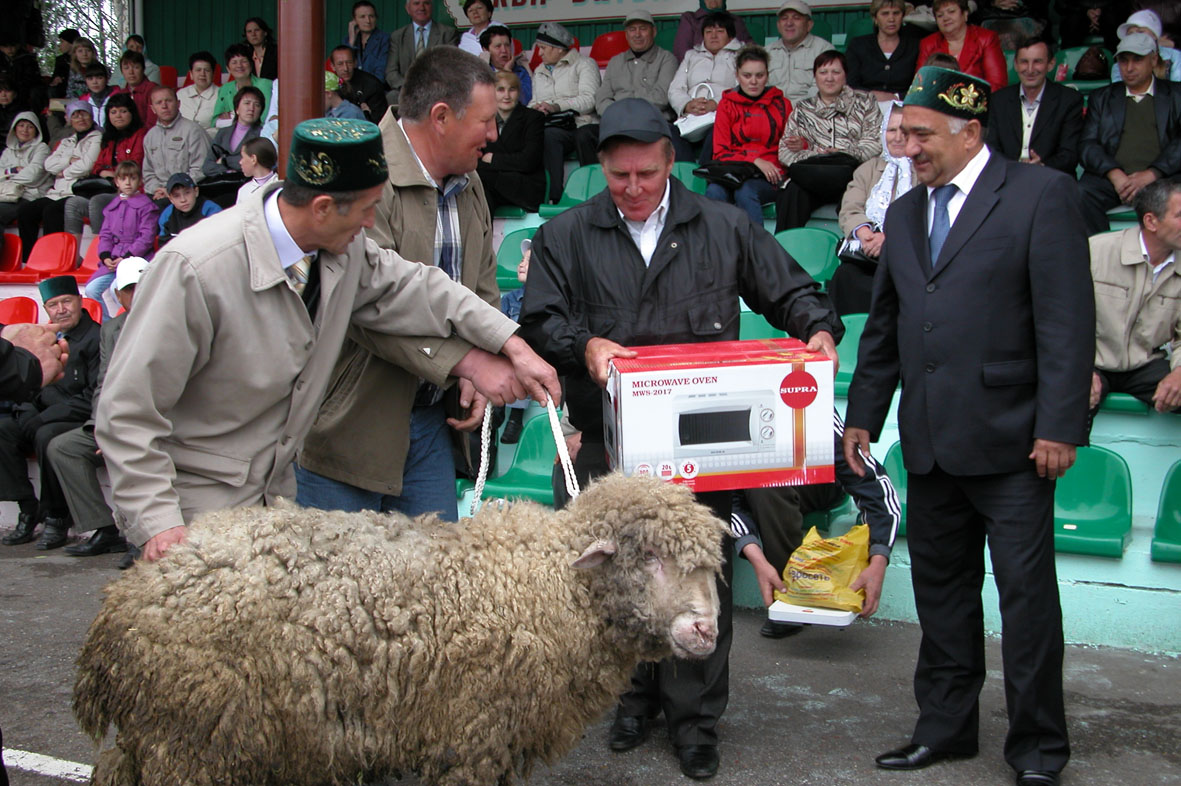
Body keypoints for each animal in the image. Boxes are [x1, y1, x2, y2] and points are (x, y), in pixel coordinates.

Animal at [73, 472, 727, 783]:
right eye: (651, 557)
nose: (705, 632)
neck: (549, 583)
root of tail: (123, 599)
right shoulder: (472, 733)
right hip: (191, 733)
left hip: (167, 731)